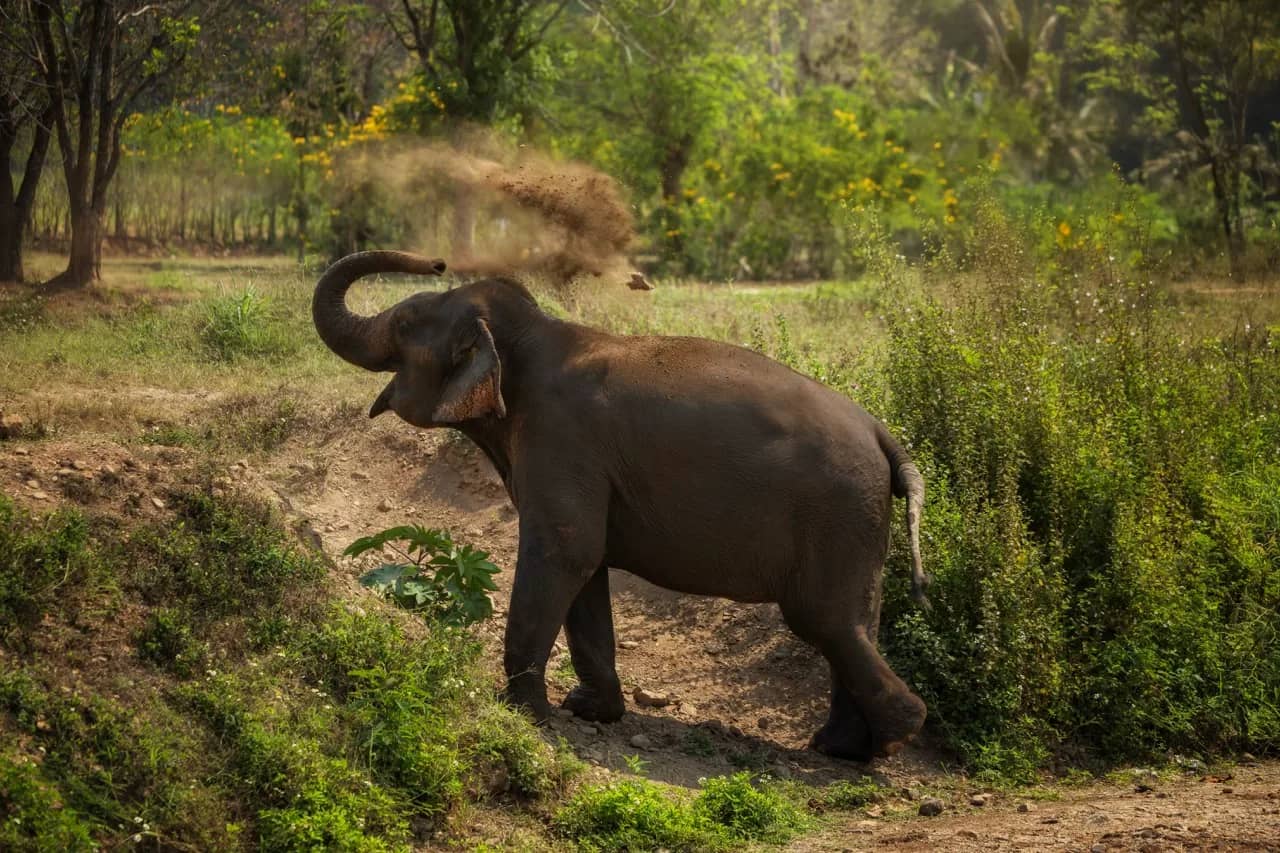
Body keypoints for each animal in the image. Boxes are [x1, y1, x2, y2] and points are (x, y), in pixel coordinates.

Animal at [313, 250, 930, 761]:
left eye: (406, 324)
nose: (437, 261)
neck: (534, 335)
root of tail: (883, 434)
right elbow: (587, 569)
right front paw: (589, 710)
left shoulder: (562, 440)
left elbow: (565, 552)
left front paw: (522, 713)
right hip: (858, 522)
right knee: (852, 621)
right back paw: (840, 746)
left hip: (838, 515)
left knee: (823, 619)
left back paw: (885, 740)